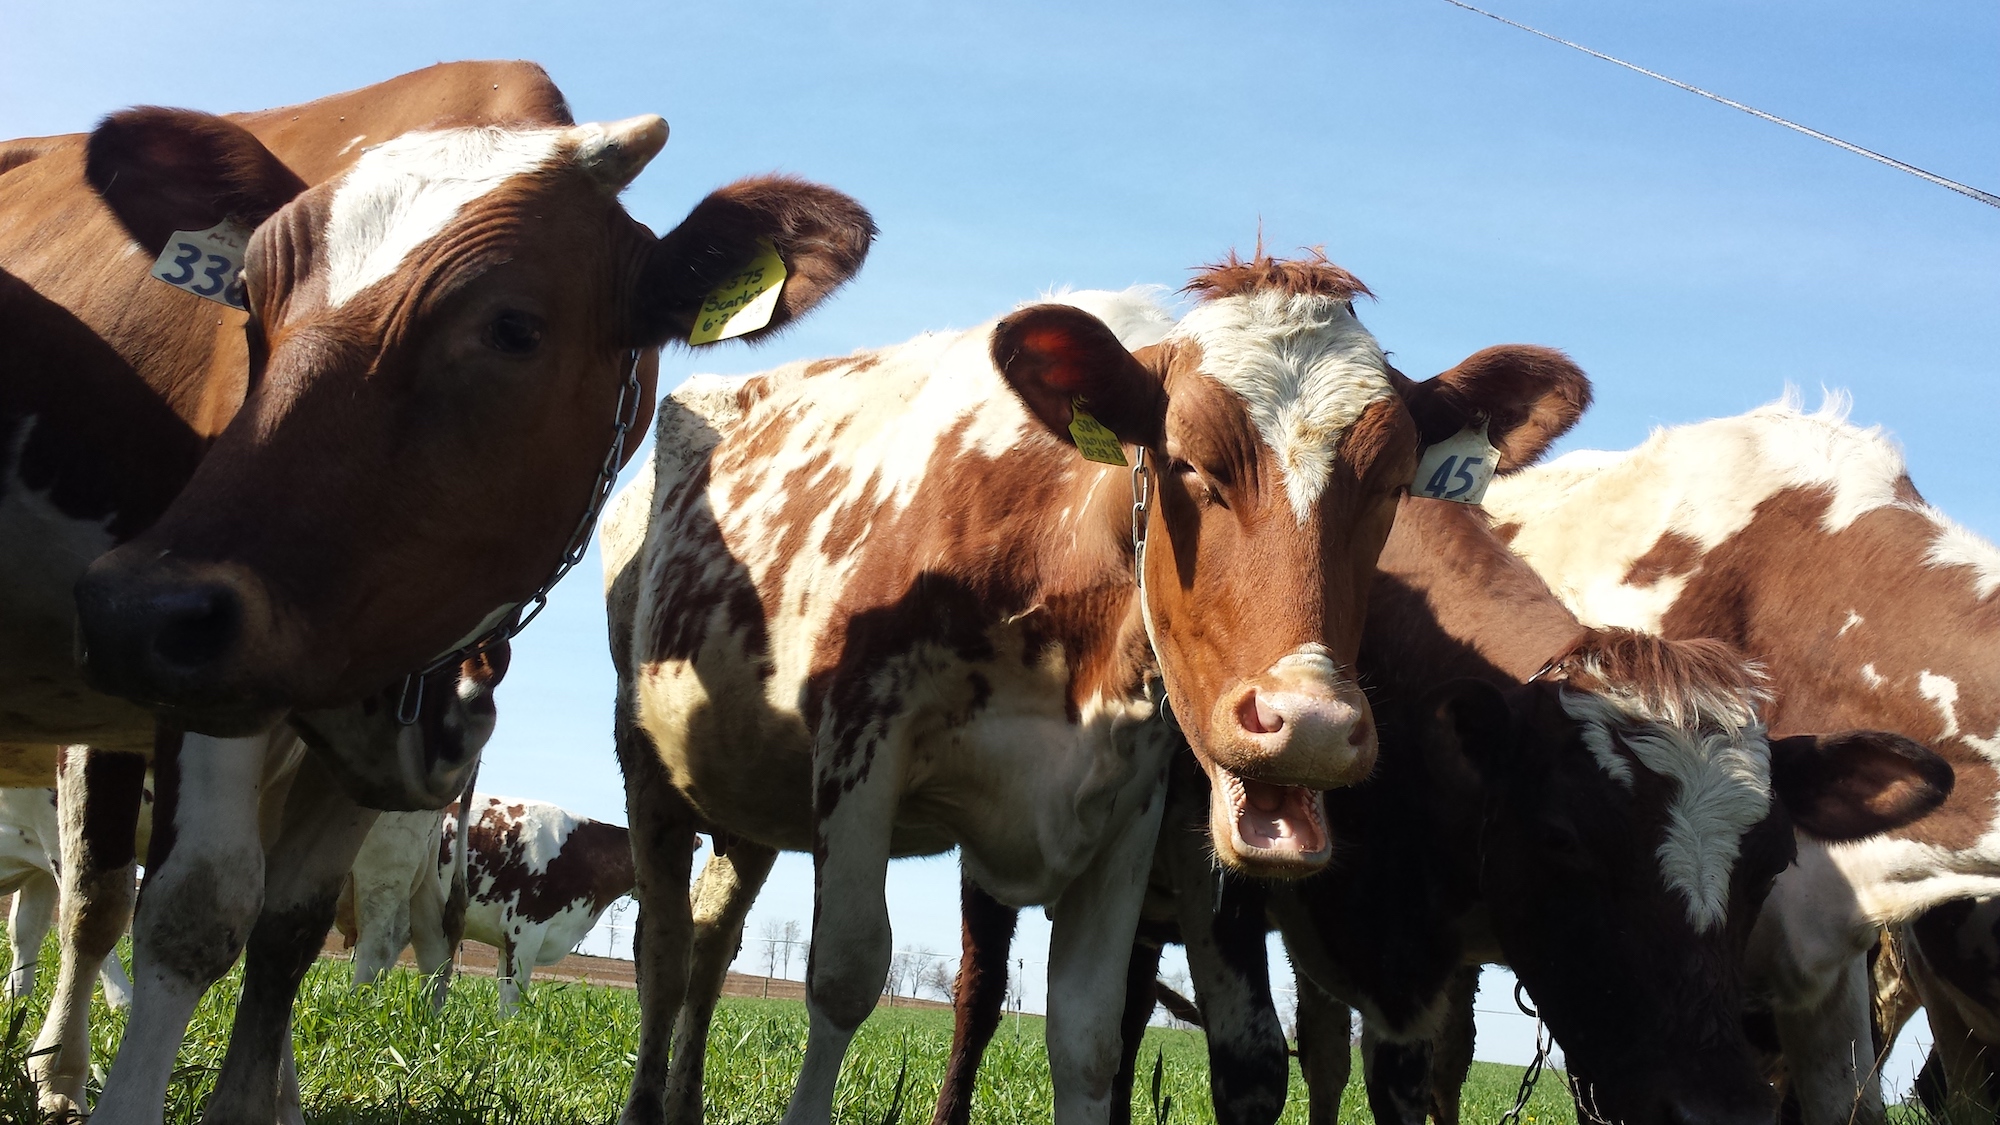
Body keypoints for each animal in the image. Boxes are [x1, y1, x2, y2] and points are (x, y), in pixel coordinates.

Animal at [600, 256, 1600, 1120]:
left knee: (712, 934)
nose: (1311, 724)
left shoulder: (1129, 807)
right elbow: (846, 976)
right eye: (1190, 459)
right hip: (644, 755)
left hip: (749, 796)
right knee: (663, 946)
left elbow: (1086, 1038)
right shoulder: (862, 744)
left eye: (1393, 484)